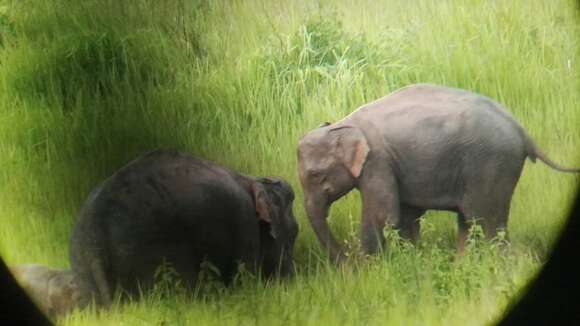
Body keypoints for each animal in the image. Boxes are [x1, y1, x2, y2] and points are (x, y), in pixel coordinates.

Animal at [70, 149, 300, 306]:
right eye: (295, 233)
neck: (250, 178)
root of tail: (95, 235)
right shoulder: (244, 222)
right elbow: (244, 277)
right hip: (145, 252)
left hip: (84, 269)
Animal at [300, 83, 580, 262]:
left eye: (315, 175)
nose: (346, 262)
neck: (342, 124)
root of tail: (523, 131)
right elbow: (406, 215)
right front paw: (412, 261)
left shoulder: (377, 162)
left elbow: (383, 215)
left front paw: (368, 269)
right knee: (469, 221)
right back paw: (462, 264)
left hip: (492, 165)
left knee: (485, 221)